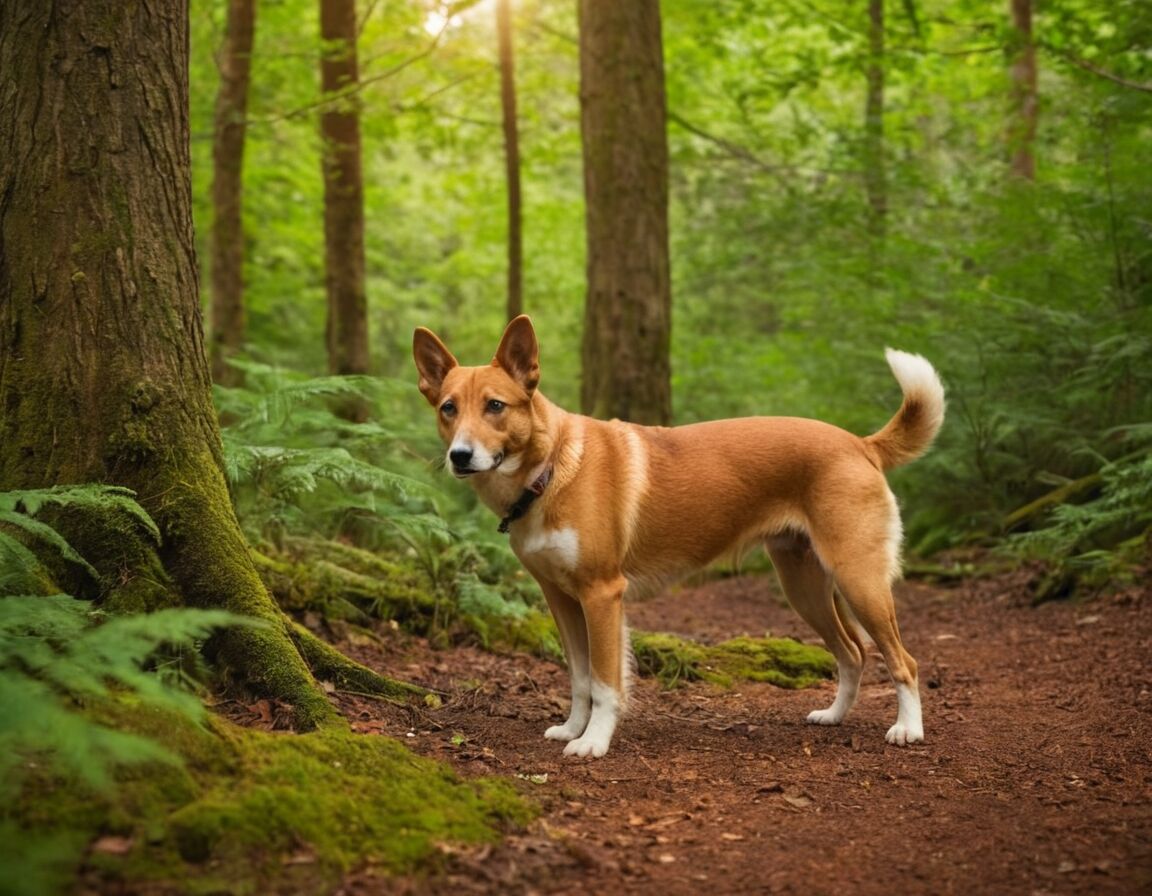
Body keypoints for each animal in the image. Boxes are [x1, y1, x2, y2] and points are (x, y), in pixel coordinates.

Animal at [414, 313, 944, 755]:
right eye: (448, 409)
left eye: (495, 406)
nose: (460, 456)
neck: (551, 470)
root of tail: (860, 443)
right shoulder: (562, 600)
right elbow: (581, 678)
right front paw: (572, 728)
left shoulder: (602, 595)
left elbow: (605, 683)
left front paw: (593, 743)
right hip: (805, 587)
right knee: (852, 652)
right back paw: (834, 716)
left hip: (859, 580)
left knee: (904, 661)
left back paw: (908, 730)